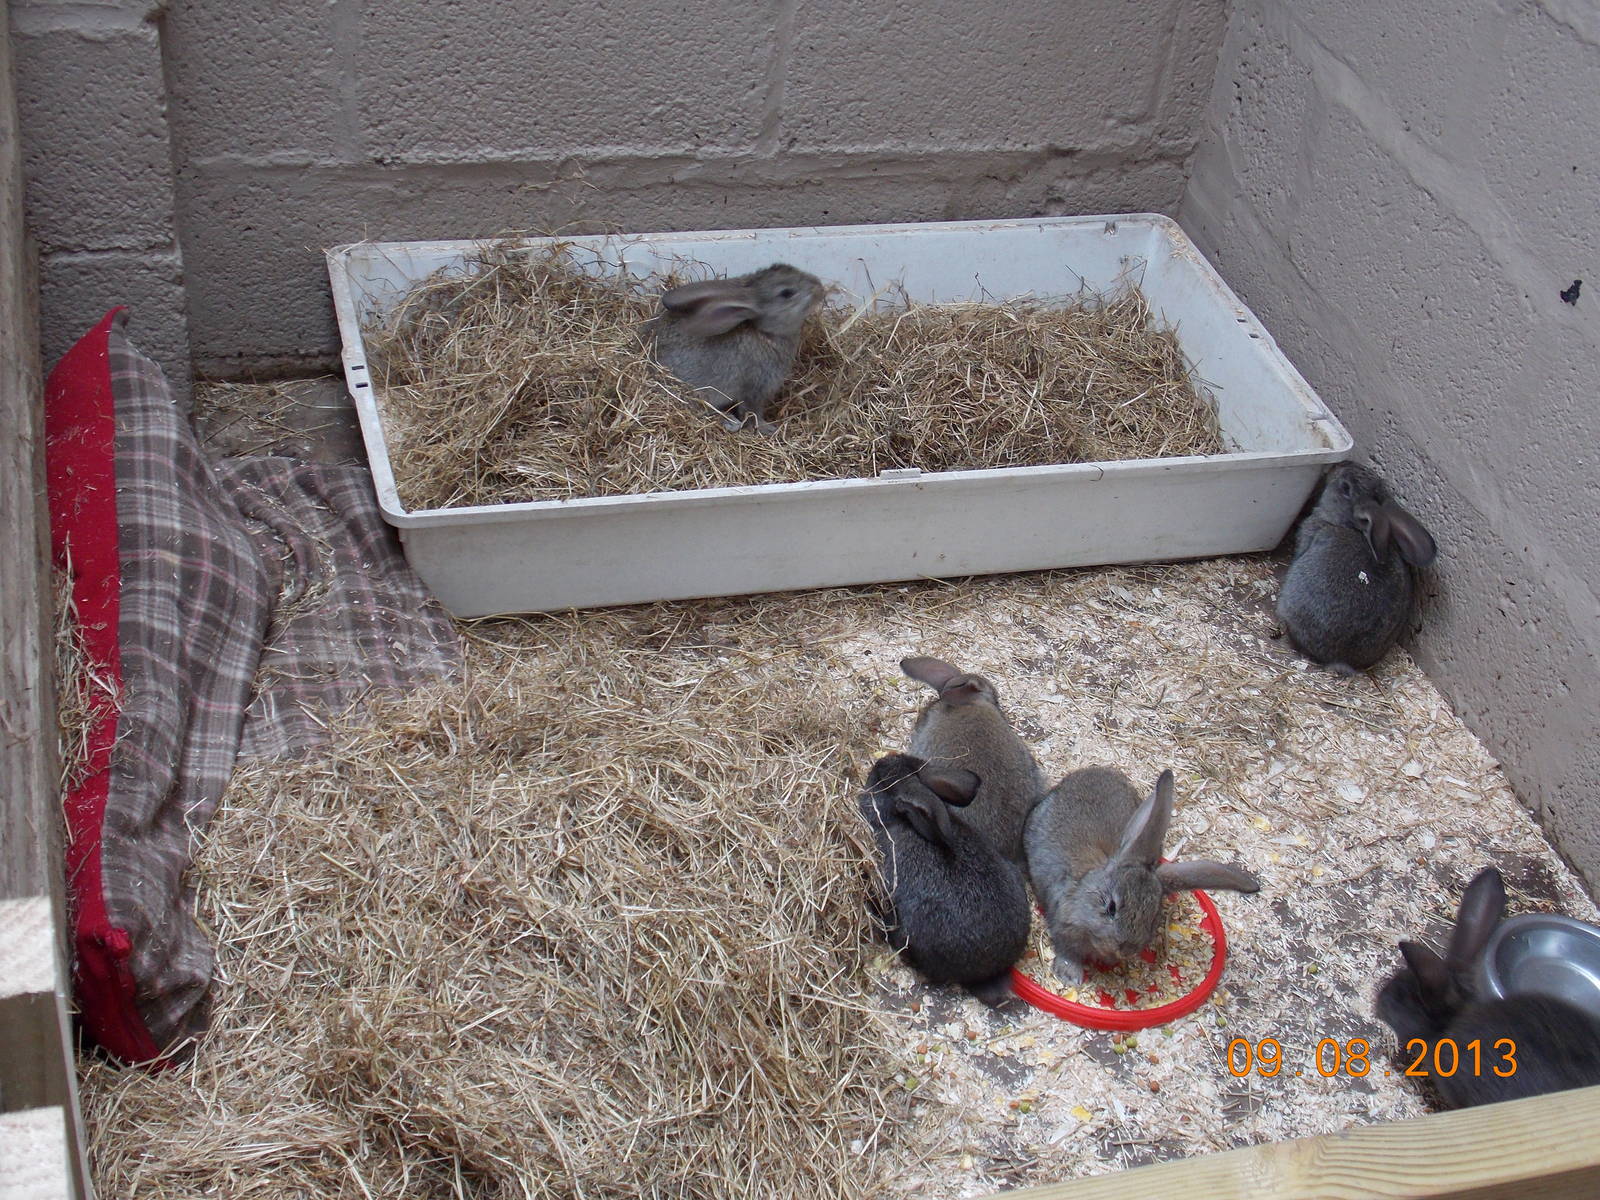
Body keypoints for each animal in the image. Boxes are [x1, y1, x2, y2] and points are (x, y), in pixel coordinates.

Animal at [645, 262, 825, 434]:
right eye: (787, 293)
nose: (820, 288)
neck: (764, 332)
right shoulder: (755, 388)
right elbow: (752, 412)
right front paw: (767, 428)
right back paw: (729, 421)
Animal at [1024, 767, 1260, 986]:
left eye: (1153, 916)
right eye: (1111, 907)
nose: (1126, 948)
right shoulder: (1064, 927)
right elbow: (1068, 952)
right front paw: (1069, 976)